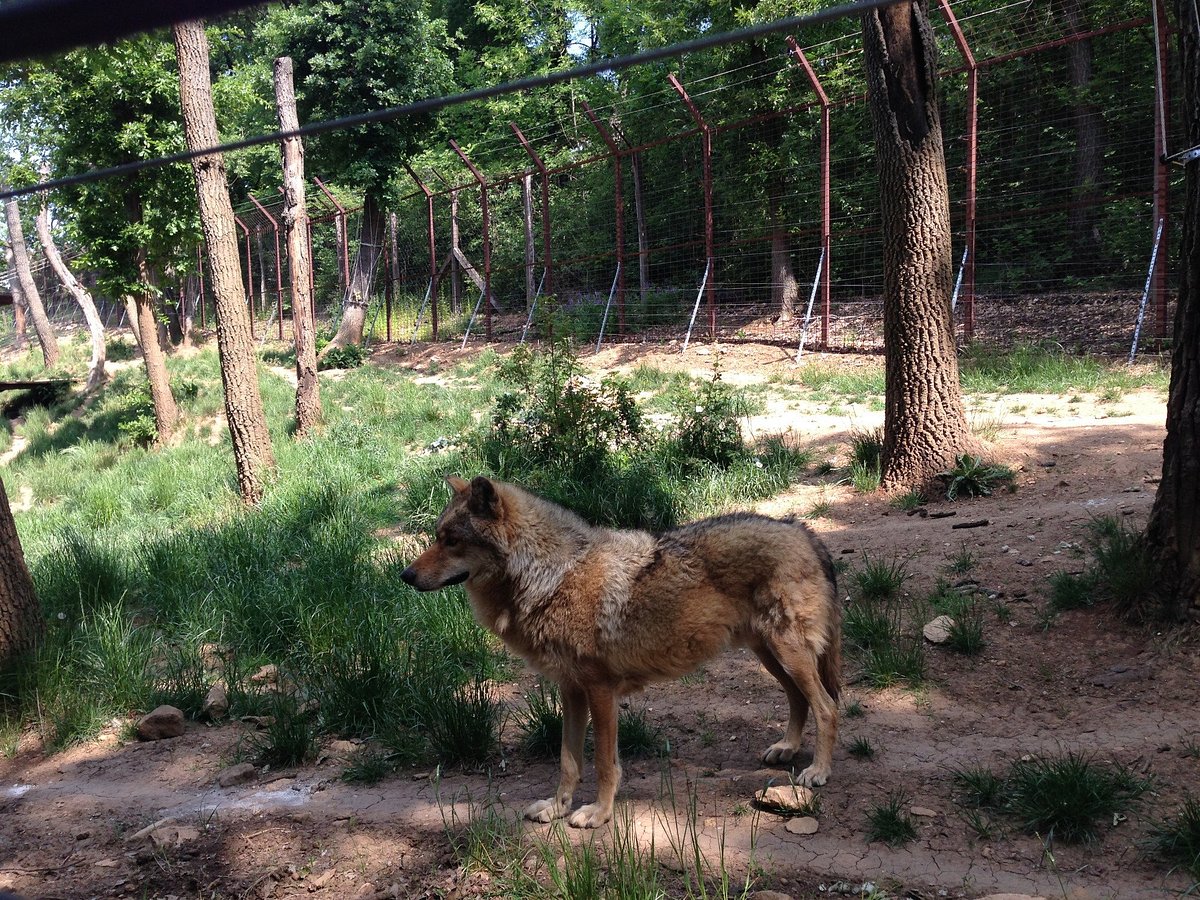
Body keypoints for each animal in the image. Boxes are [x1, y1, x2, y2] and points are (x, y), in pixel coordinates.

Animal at [398, 480, 840, 830]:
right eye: (437, 536)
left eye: (451, 541)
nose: (405, 576)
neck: (551, 577)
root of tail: (804, 531)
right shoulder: (571, 691)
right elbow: (568, 761)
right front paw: (557, 809)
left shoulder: (601, 691)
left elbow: (603, 763)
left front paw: (598, 814)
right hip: (772, 658)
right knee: (800, 699)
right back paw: (787, 749)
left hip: (788, 656)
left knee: (827, 706)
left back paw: (818, 771)